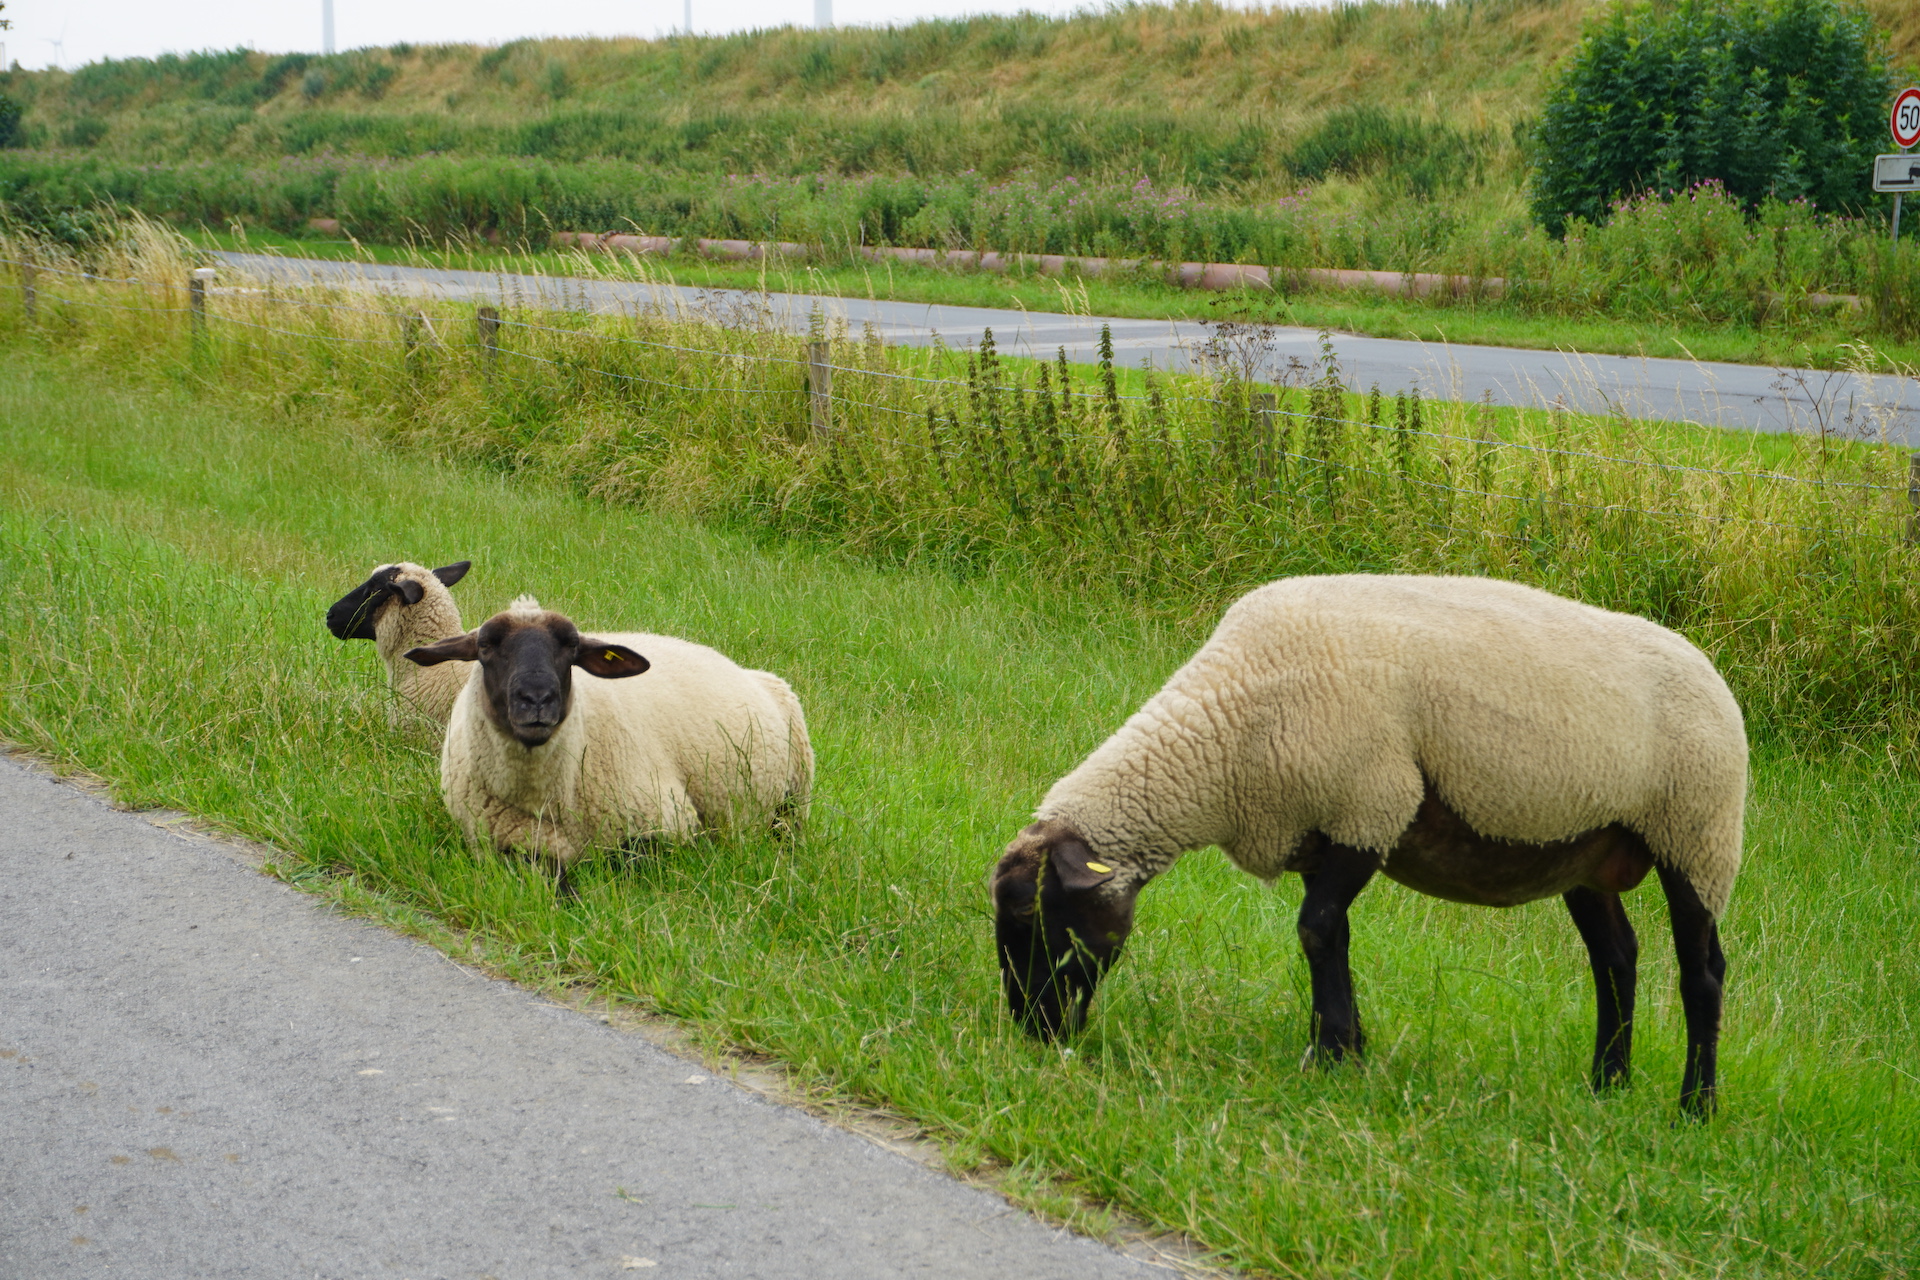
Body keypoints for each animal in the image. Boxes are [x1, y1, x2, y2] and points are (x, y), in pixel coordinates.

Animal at [404, 598, 813, 886]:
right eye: (486, 647)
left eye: (571, 648)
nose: (537, 698)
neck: (546, 800)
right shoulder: (495, 844)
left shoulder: (668, 823)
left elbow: (624, 859)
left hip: (793, 802)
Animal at [990, 574, 1746, 1117]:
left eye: (1035, 916)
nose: (1034, 1032)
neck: (1225, 733)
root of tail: (1713, 673)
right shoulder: (1327, 827)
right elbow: (1334, 935)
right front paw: (1345, 1044)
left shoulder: (1370, 807)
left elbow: (1316, 930)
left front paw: (1328, 1056)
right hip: (1588, 851)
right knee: (1616, 959)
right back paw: (1606, 1085)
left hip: (1698, 834)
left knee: (1702, 973)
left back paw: (1694, 1108)